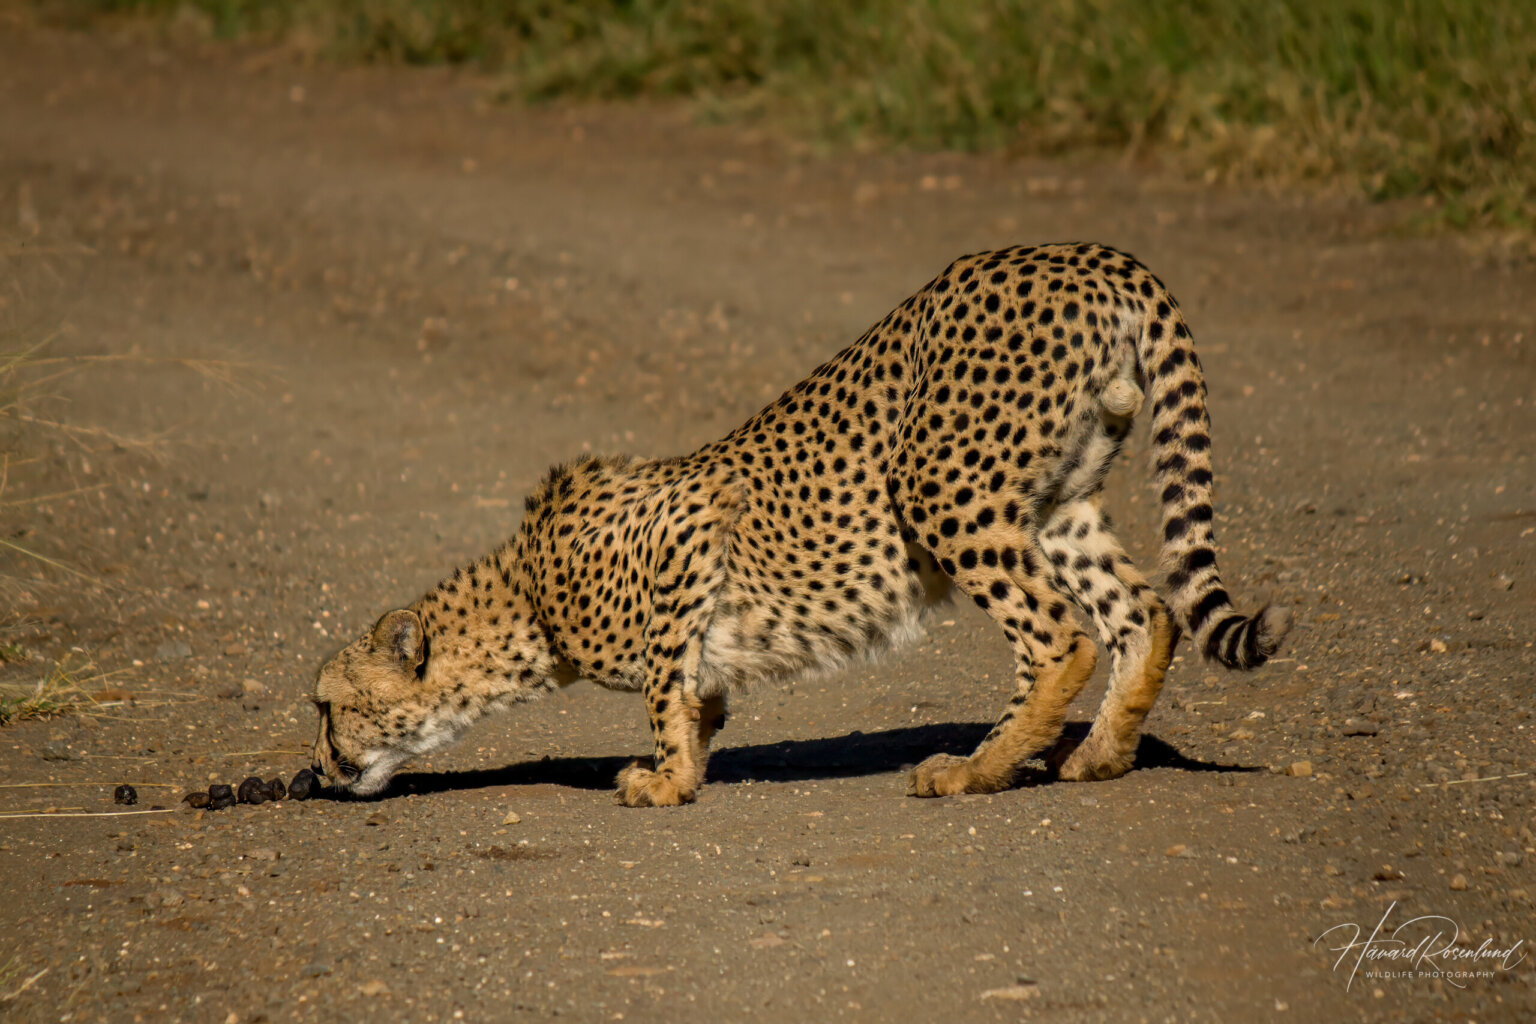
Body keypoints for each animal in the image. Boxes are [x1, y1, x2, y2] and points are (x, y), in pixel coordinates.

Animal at [311, 242, 1291, 806]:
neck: (526, 603)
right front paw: (688, 761)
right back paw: (1100, 755)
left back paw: (975, 769)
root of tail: (1092, 255)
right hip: (1054, 500)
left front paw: (664, 781)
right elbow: (698, 696)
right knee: (1145, 613)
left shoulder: (690, 528)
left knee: (1060, 637)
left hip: (940, 485)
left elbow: (664, 684)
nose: (317, 768)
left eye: (326, 706)